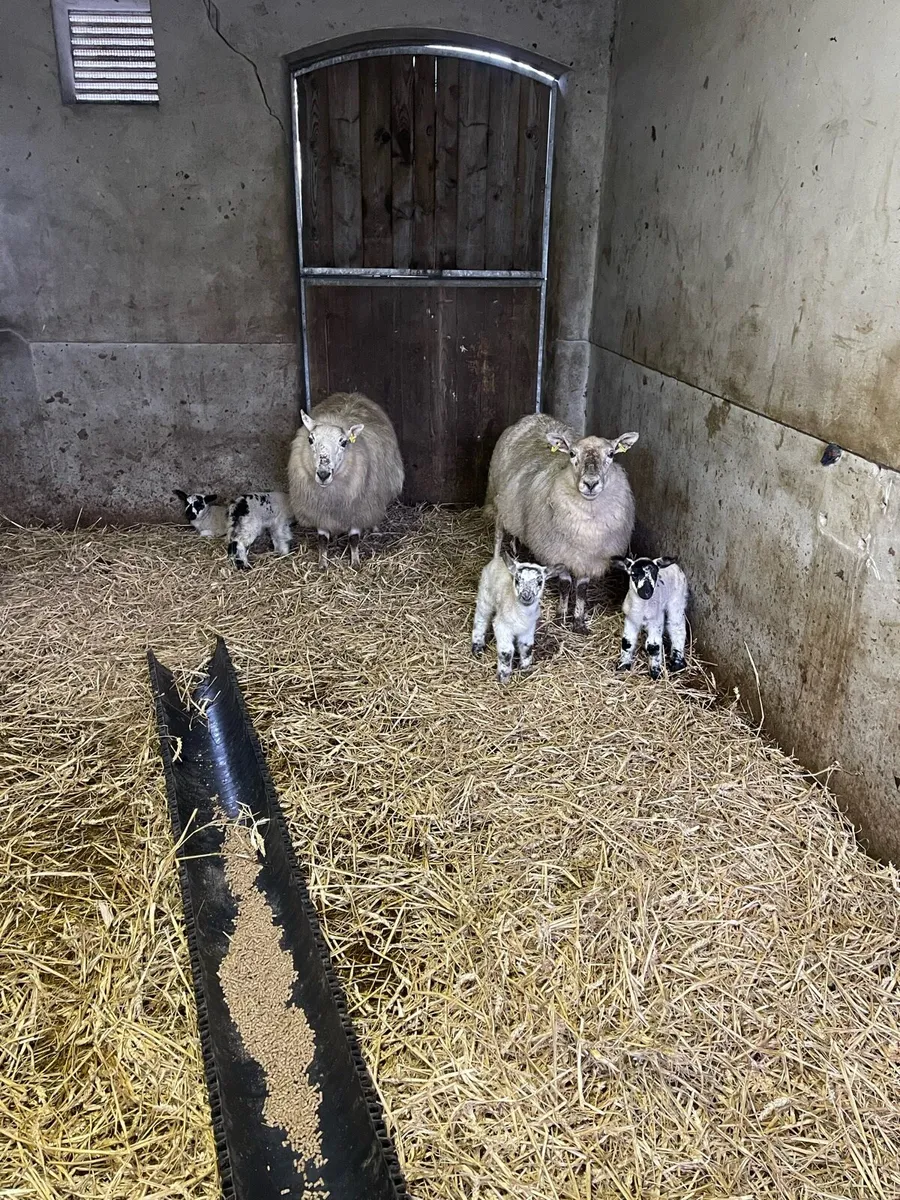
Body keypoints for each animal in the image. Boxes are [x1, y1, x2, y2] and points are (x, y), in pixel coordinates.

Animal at [287, 392, 404, 569]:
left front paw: (355, 562)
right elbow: (322, 540)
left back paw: (375, 528)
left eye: (343, 442)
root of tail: (352, 394)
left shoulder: (357, 509)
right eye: (310, 439)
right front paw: (323, 563)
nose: (323, 474)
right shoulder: (319, 511)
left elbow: (354, 539)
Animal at [471, 551, 561, 684]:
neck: (521, 614)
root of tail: (497, 558)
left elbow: (527, 647)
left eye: (540, 582)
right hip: (485, 593)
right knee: (481, 618)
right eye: (517, 580)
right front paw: (504, 677)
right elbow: (506, 651)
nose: (526, 596)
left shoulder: (528, 629)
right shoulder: (502, 626)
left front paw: (525, 668)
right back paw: (477, 647)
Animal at [484, 414, 639, 633]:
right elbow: (565, 585)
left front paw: (579, 621)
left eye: (611, 454)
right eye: (572, 453)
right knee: (498, 534)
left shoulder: (589, 558)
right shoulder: (559, 552)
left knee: (514, 532)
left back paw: (515, 549)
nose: (590, 483)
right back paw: (497, 560)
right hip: (500, 498)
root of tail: (533, 416)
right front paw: (561, 617)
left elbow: (582, 590)